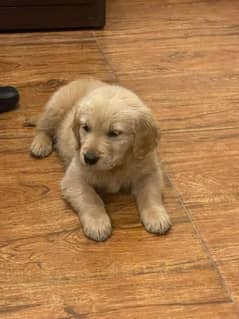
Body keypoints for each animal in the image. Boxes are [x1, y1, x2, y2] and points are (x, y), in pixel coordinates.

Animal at [30, 79, 172, 241]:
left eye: (114, 133)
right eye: (85, 127)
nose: (89, 158)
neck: (115, 166)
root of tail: (81, 79)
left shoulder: (149, 171)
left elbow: (150, 194)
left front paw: (156, 216)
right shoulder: (74, 177)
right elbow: (90, 197)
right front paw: (97, 222)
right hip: (56, 108)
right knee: (42, 127)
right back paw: (40, 144)